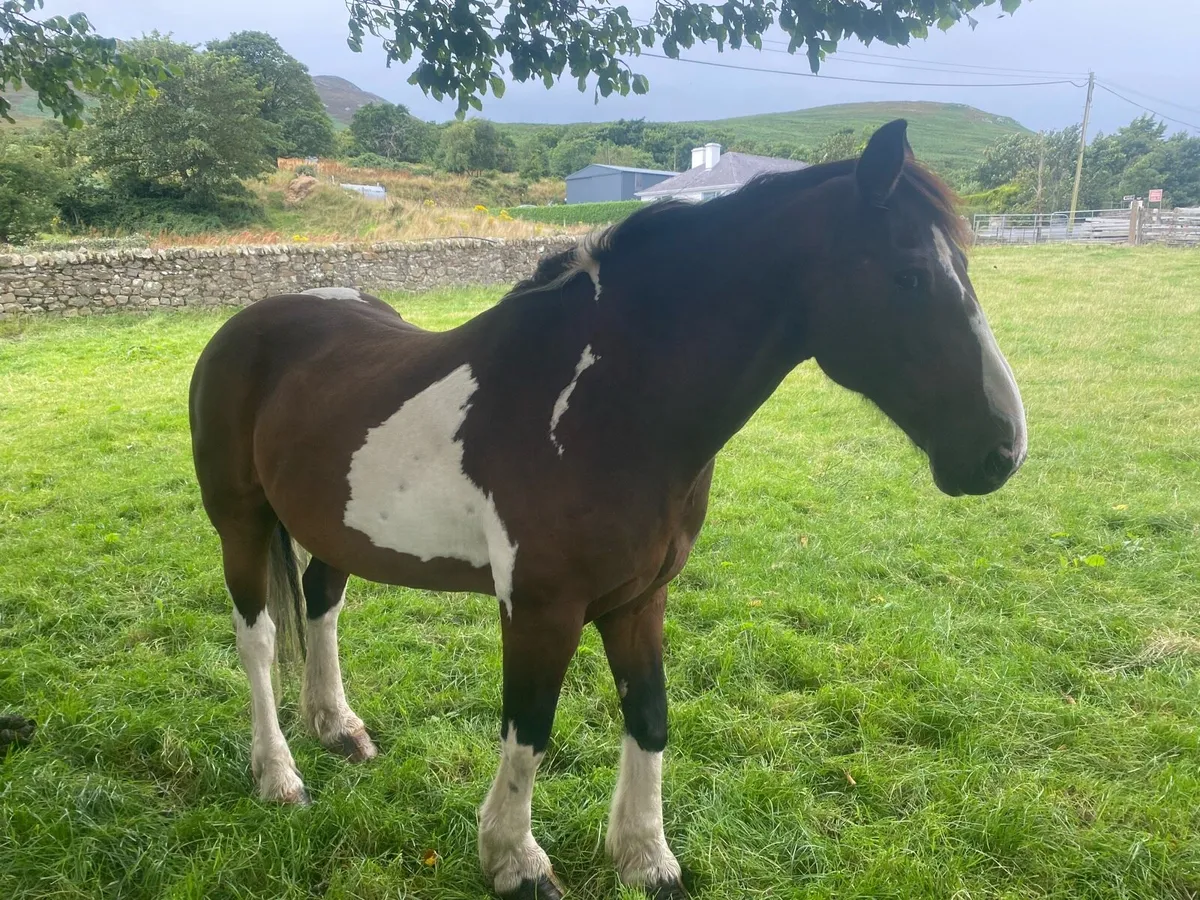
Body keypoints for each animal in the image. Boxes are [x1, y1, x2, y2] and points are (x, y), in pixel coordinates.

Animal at [189, 119, 1026, 899]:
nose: (1003, 450)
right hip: (240, 524)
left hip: (337, 529)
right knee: (257, 640)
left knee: (321, 605)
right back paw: (278, 775)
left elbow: (650, 717)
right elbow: (529, 729)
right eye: (910, 275)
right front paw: (515, 860)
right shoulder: (541, 608)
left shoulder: (640, 599)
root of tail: (248, 324)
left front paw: (646, 858)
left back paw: (338, 729)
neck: (607, 404)